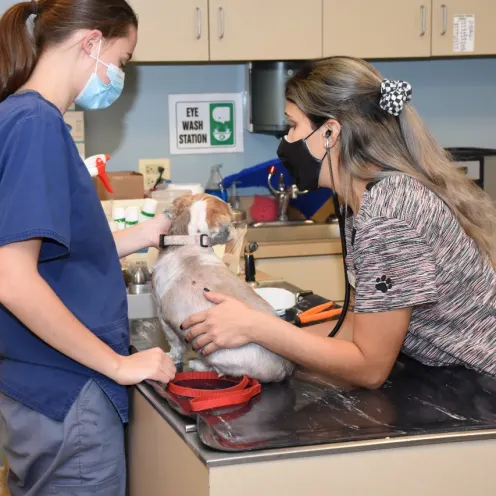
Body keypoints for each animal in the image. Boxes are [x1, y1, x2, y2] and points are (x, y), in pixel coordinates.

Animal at [153, 192, 294, 382]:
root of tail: (284, 366)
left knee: (219, 371)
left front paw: (172, 357)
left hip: (219, 355)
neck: (190, 242)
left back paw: (198, 365)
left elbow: (176, 345)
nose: (234, 228)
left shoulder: (163, 318)